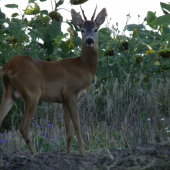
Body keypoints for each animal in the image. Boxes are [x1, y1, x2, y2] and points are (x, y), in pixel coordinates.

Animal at [0, 6, 106, 155]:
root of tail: (7, 67)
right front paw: (84, 153)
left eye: (96, 29)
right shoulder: (71, 93)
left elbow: (68, 132)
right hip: (32, 92)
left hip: (10, 92)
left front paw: (68, 155)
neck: (85, 67)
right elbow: (77, 125)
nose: (89, 40)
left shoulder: (64, 100)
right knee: (23, 127)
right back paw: (35, 154)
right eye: (82, 30)